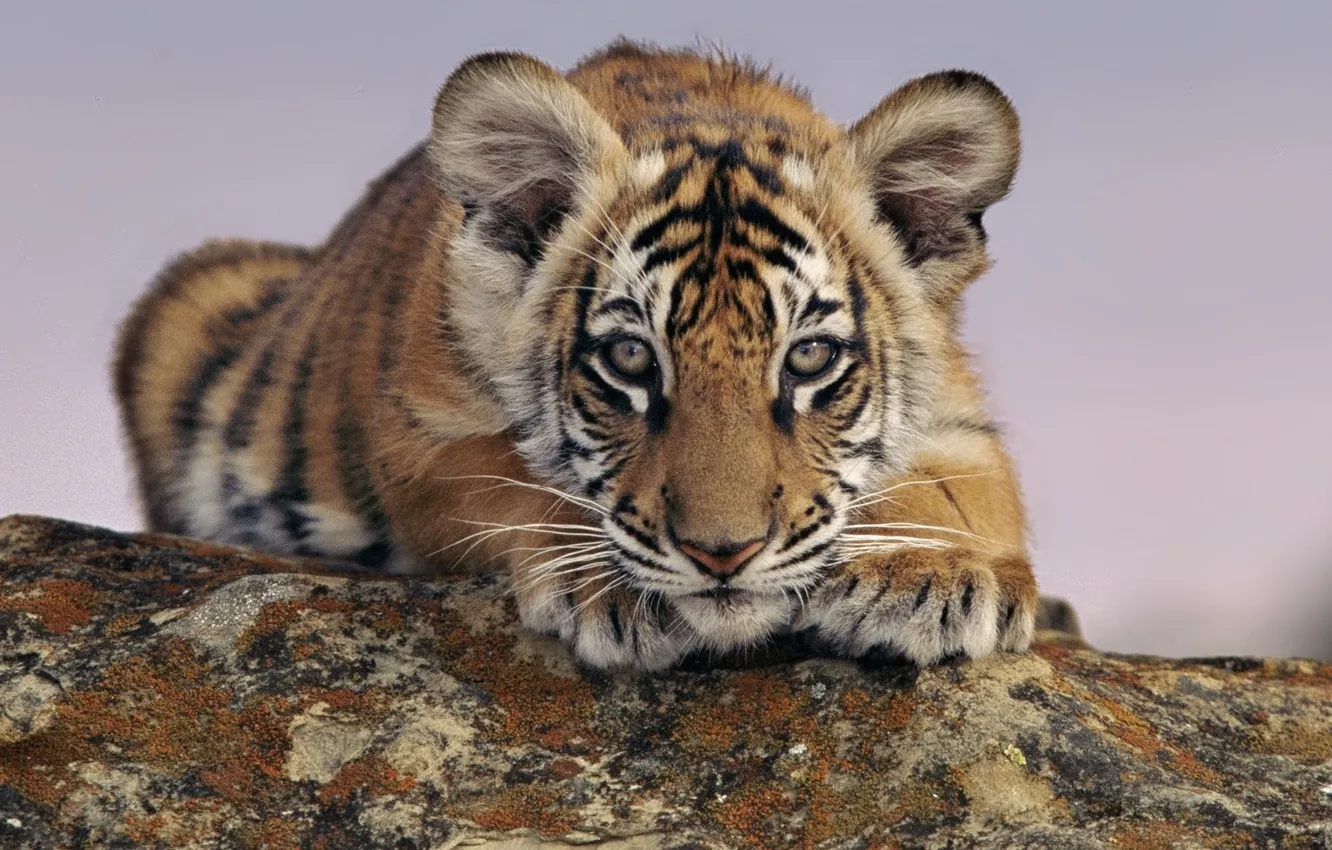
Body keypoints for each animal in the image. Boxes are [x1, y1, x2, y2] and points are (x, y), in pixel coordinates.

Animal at [113, 39, 1039, 672]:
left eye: (808, 359)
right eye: (630, 359)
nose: (723, 556)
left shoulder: (961, 421)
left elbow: (956, 491)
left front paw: (927, 573)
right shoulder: (421, 437)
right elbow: (514, 477)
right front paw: (613, 584)